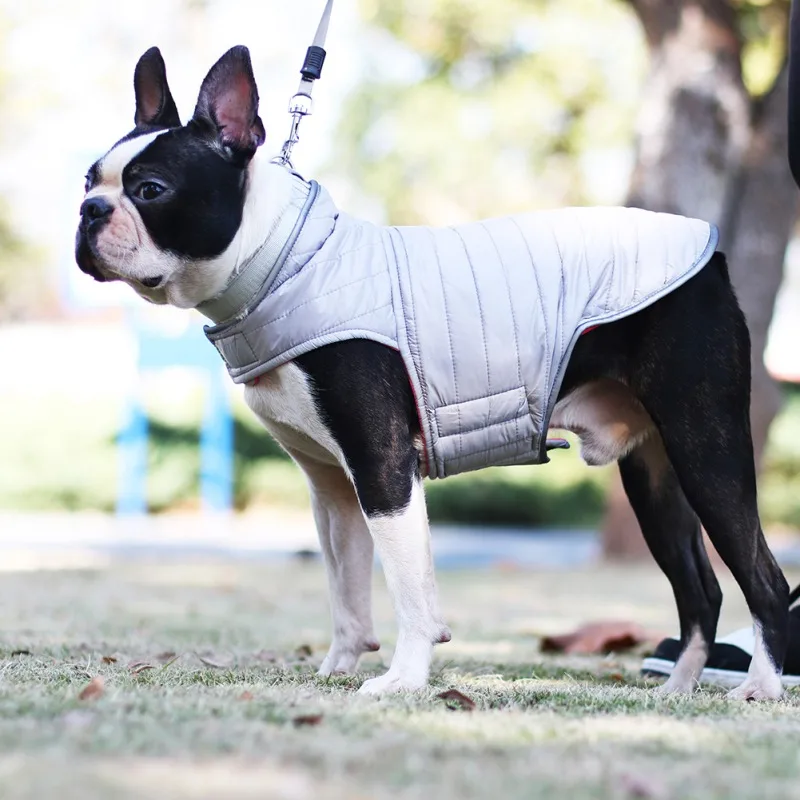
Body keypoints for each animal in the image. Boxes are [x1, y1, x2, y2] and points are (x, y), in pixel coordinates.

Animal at [75, 45, 788, 692]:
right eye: (87, 182)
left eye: (150, 190)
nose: (89, 211)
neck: (282, 261)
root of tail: (709, 251)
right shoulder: (333, 486)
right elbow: (346, 585)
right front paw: (336, 669)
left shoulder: (383, 466)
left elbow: (409, 588)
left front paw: (402, 679)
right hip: (654, 474)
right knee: (701, 588)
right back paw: (679, 689)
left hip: (705, 445)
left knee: (764, 577)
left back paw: (761, 686)